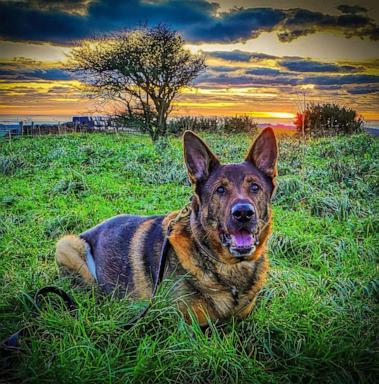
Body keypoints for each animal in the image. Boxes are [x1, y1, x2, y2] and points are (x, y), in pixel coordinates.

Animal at [55, 128, 278, 324]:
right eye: (220, 190)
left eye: (255, 187)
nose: (243, 213)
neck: (228, 267)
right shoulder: (185, 325)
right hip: (67, 244)